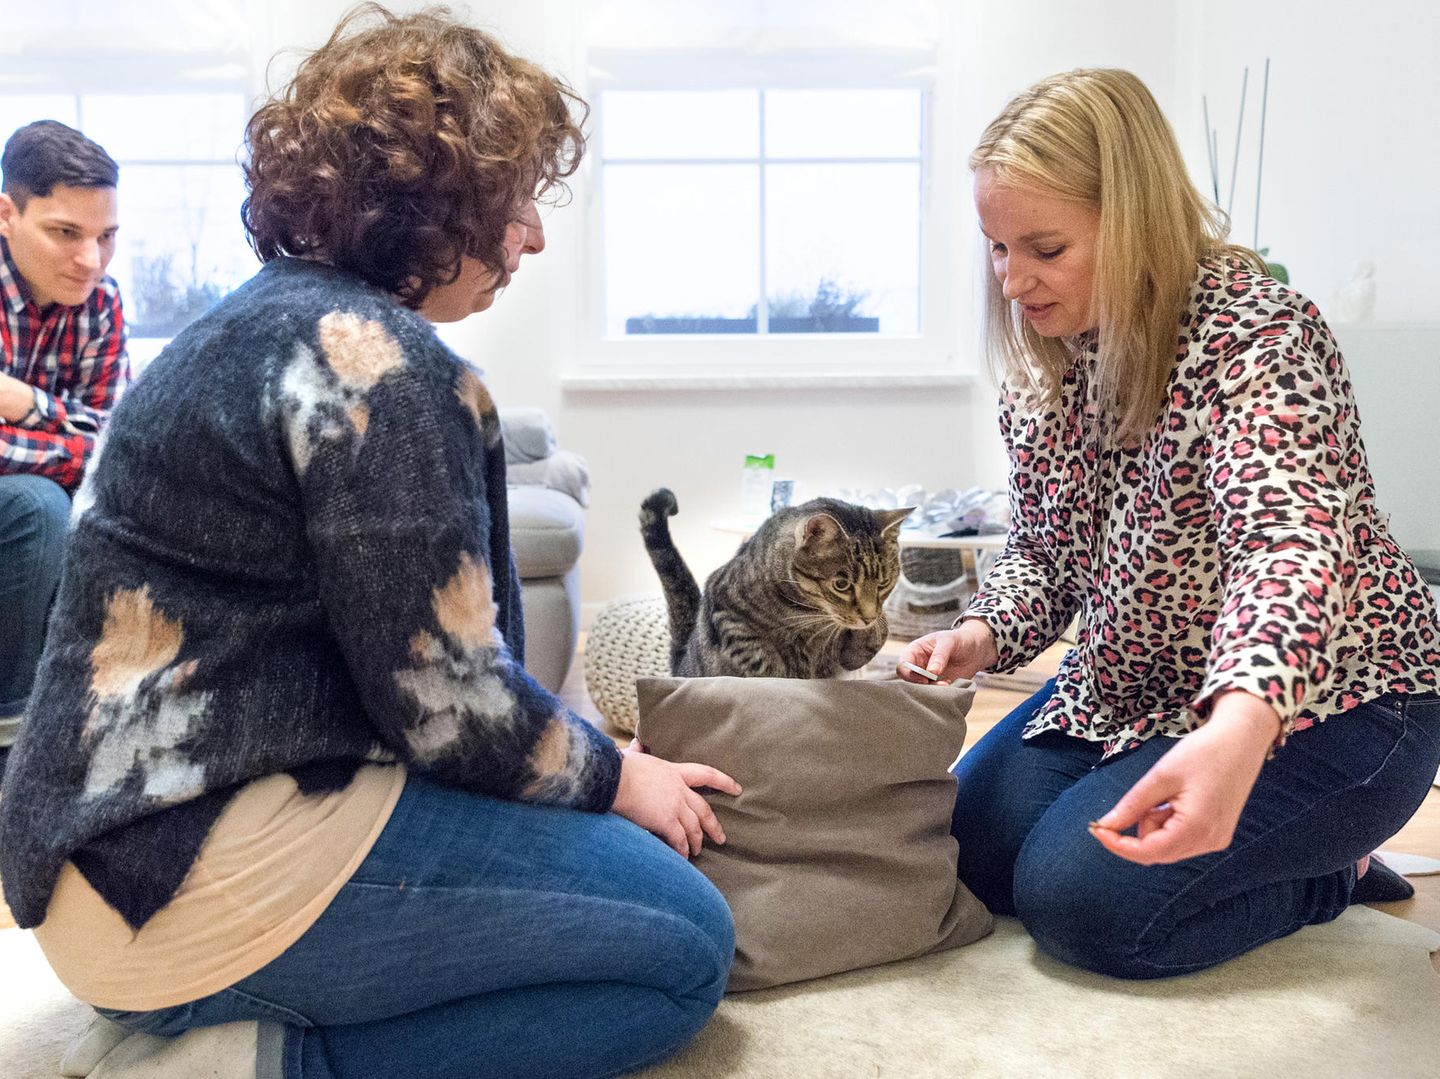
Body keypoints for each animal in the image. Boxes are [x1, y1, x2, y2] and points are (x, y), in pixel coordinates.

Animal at [642, 486, 910, 677]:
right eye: (841, 585)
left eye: (884, 583)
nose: (867, 617)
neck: (806, 613)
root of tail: (679, 664)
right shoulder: (725, 611)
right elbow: (759, 656)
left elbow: (881, 629)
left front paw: (867, 639)